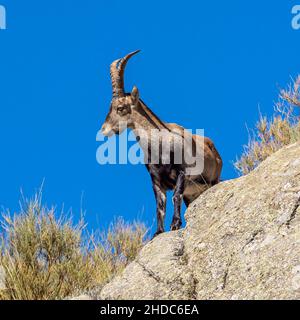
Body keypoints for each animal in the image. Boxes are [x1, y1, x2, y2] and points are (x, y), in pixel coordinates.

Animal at [101, 49, 223, 235]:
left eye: (120, 108)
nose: (104, 129)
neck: (159, 147)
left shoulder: (181, 173)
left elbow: (175, 195)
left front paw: (175, 224)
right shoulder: (156, 181)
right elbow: (160, 204)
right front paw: (158, 232)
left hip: (212, 181)